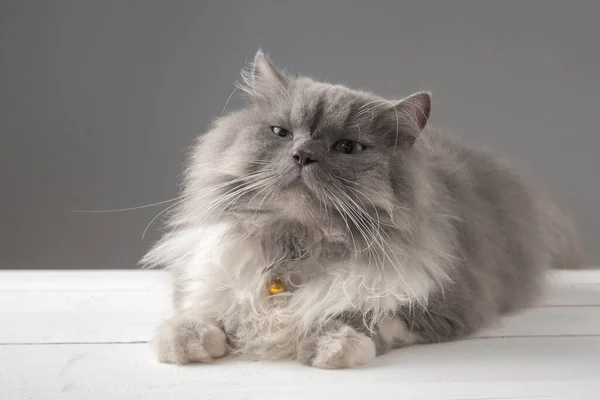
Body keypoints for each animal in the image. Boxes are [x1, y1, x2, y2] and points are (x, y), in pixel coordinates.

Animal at [143, 49, 584, 368]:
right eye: (281, 132)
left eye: (347, 147)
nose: (302, 154)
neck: (296, 243)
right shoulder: (210, 274)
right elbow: (203, 309)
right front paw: (187, 340)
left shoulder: (452, 300)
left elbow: (370, 317)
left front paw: (331, 345)